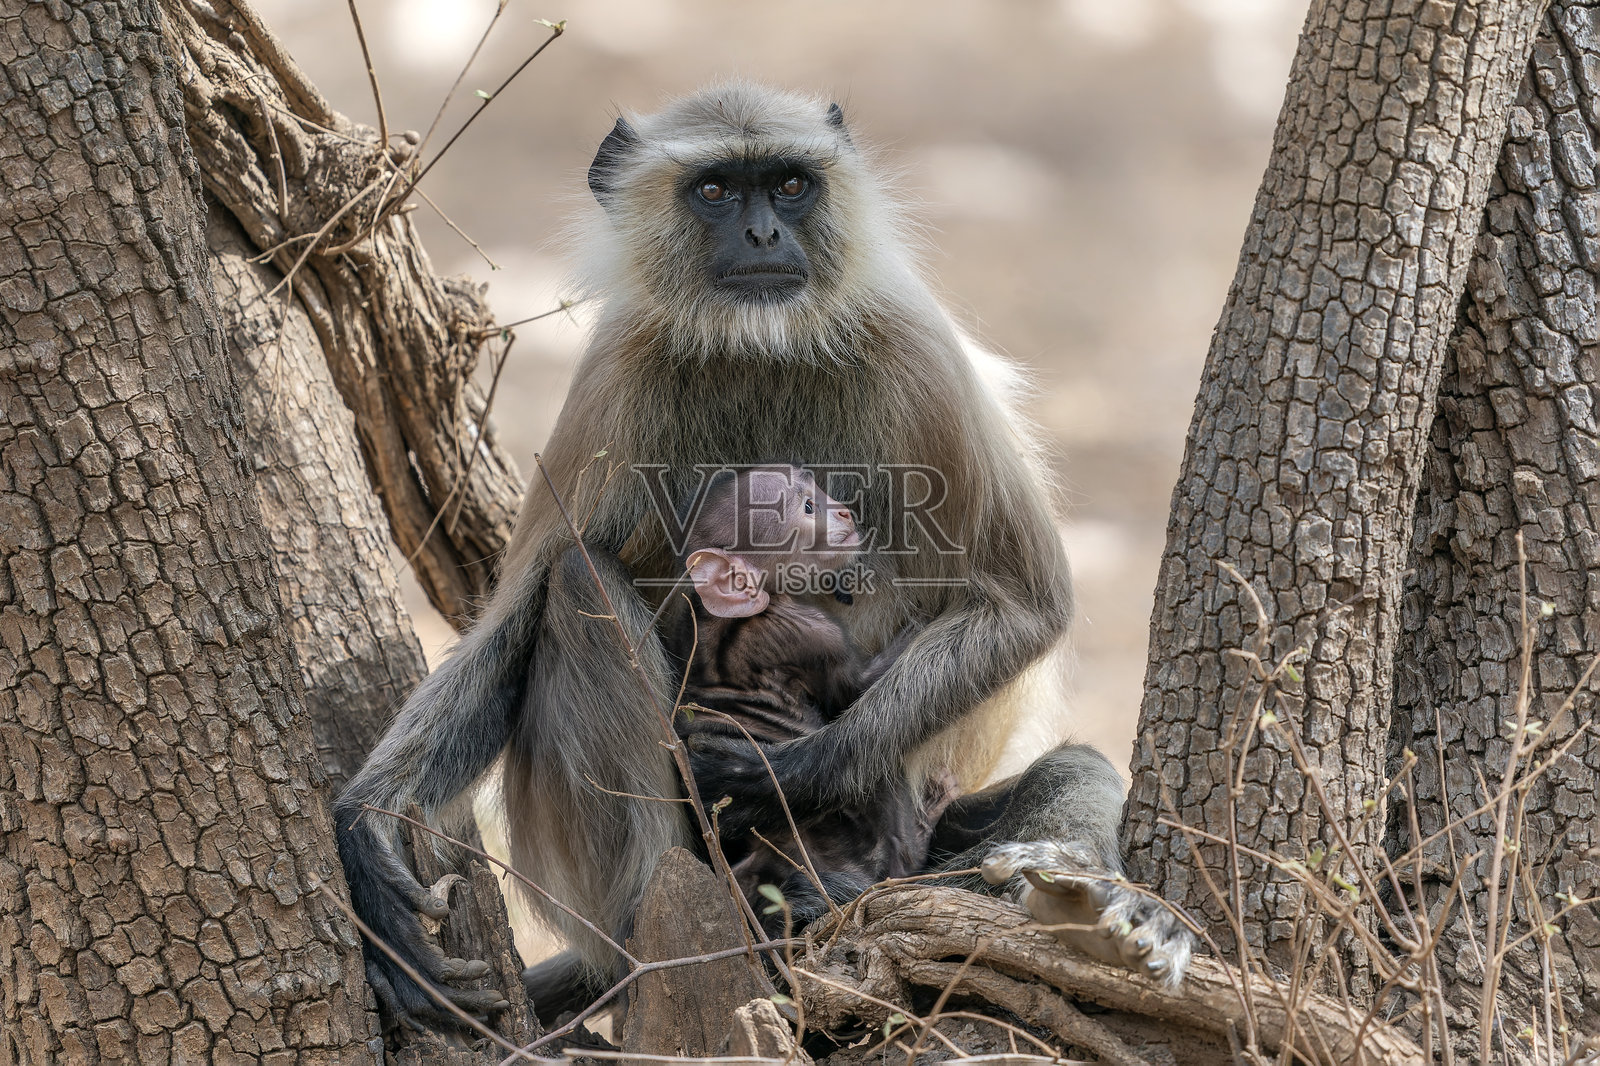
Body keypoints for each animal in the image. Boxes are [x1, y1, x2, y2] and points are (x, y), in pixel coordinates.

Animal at [333, 83, 1194, 1032]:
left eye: (788, 184)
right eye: (715, 190)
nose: (760, 234)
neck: (762, 340)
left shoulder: (913, 343)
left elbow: (1027, 602)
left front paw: (789, 769)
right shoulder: (617, 365)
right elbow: (514, 622)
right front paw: (368, 825)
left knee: (1072, 769)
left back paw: (1095, 913)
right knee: (581, 584)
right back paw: (680, 938)